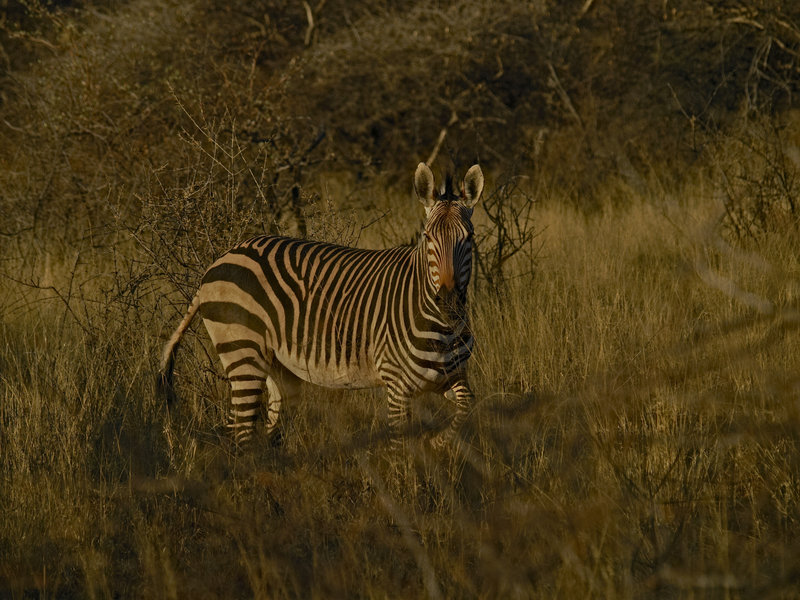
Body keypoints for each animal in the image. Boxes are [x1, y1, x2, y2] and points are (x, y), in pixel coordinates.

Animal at [158, 162, 484, 448]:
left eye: (469, 237)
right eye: (428, 237)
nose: (448, 302)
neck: (441, 325)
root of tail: (220, 259)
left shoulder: (453, 377)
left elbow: (469, 406)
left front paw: (439, 442)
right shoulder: (397, 385)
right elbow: (399, 448)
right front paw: (412, 470)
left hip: (277, 366)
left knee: (262, 427)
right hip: (242, 352)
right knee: (241, 432)